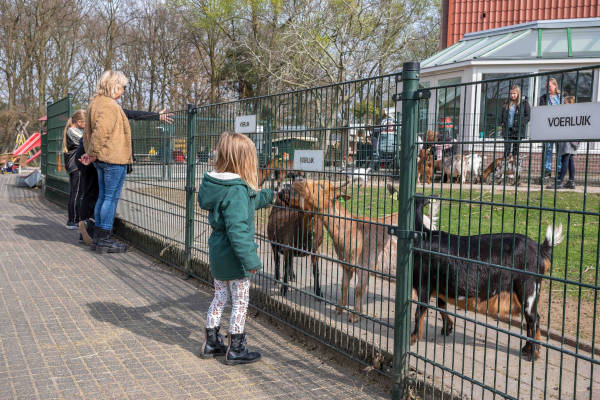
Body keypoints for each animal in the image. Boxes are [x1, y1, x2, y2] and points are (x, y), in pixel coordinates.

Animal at [408, 195, 564, 362]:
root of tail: (541, 249)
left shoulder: (424, 282)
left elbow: (420, 310)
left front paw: (413, 338)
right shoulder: (442, 285)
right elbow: (440, 305)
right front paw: (447, 328)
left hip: (528, 287)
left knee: (534, 319)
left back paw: (533, 354)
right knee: (530, 319)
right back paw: (526, 349)